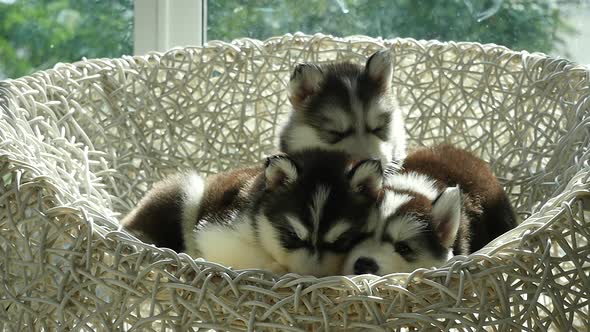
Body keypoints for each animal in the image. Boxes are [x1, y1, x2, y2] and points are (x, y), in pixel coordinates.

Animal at [121, 149, 384, 276]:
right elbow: (251, 256)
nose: (310, 277)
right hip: (187, 190)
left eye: (342, 241)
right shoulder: (215, 234)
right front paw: (276, 268)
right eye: (292, 236)